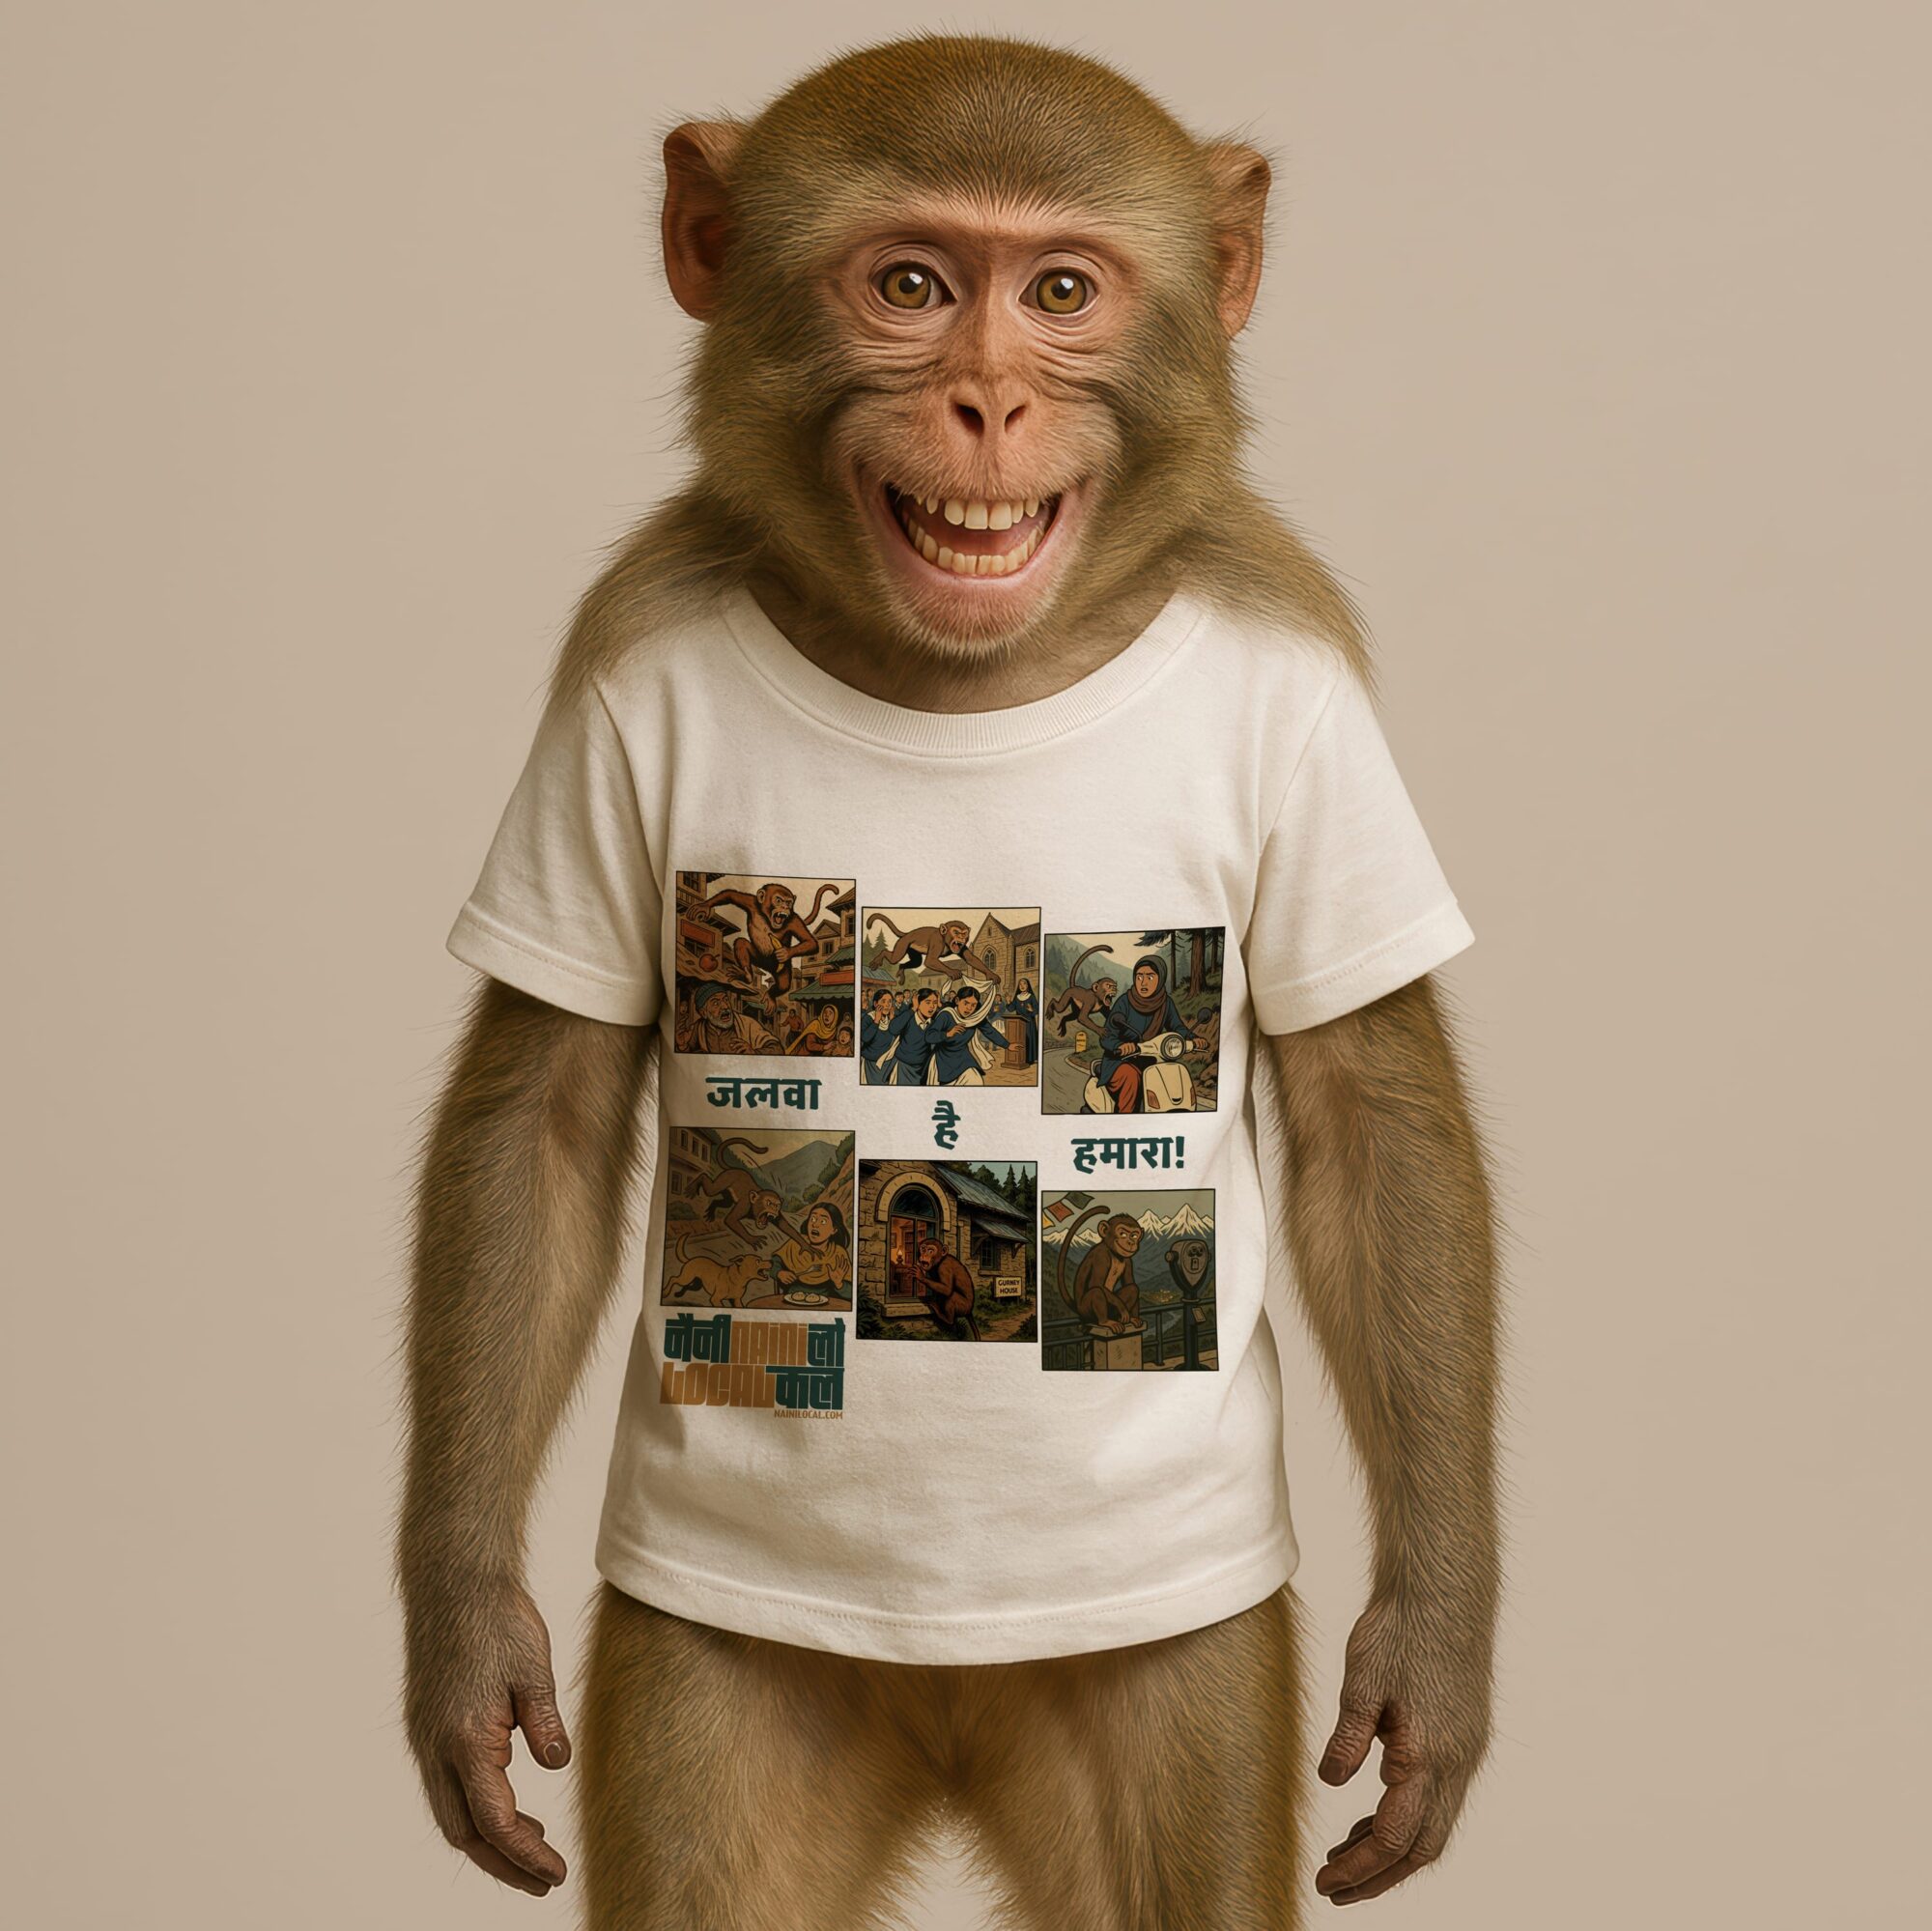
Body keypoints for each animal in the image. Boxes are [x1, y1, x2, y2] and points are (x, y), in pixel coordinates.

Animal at [705, 880, 836, 996]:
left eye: (789, 903)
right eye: (778, 900)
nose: (785, 907)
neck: (767, 918)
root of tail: (767, 966)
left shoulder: (794, 921)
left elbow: (810, 942)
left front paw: (784, 952)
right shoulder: (751, 902)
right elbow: (730, 895)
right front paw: (705, 905)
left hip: (782, 967)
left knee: (784, 983)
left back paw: (770, 996)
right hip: (758, 957)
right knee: (741, 943)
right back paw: (747, 976)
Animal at [1058, 1205, 1144, 1335]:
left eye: (1134, 1235)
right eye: (1123, 1234)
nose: (1130, 1242)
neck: (1114, 1253)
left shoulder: (1128, 1260)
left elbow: (1130, 1283)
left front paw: (1134, 1317)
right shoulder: (1101, 1256)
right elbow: (1096, 1284)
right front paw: (1122, 1308)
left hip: (1111, 1312)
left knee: (1133, 1288)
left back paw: (1120, 1318)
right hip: (1086, 1311)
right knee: (1096, 1292)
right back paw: (1105, 1322)